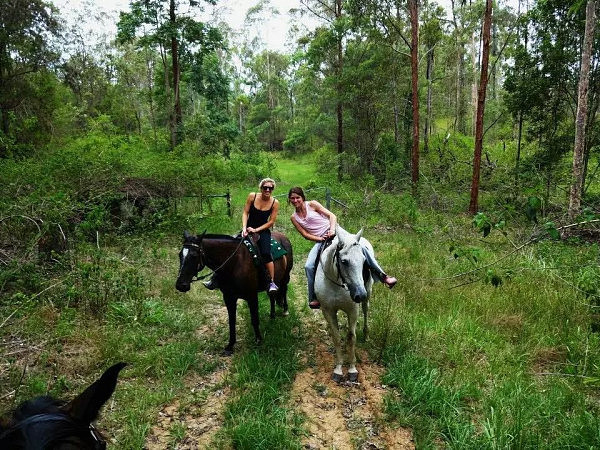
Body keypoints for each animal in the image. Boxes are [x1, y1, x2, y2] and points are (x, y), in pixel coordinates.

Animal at [316, 223, 372, 382]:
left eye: (364, 261)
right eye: (344, 261)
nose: (360, 294)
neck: (337, 284)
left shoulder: (352, 310)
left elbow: (351, 338)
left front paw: (352, 369)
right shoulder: (328, 311)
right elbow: (336, 337)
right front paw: (339, 369)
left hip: (368, 292)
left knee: (366, 310)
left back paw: (366, 334)